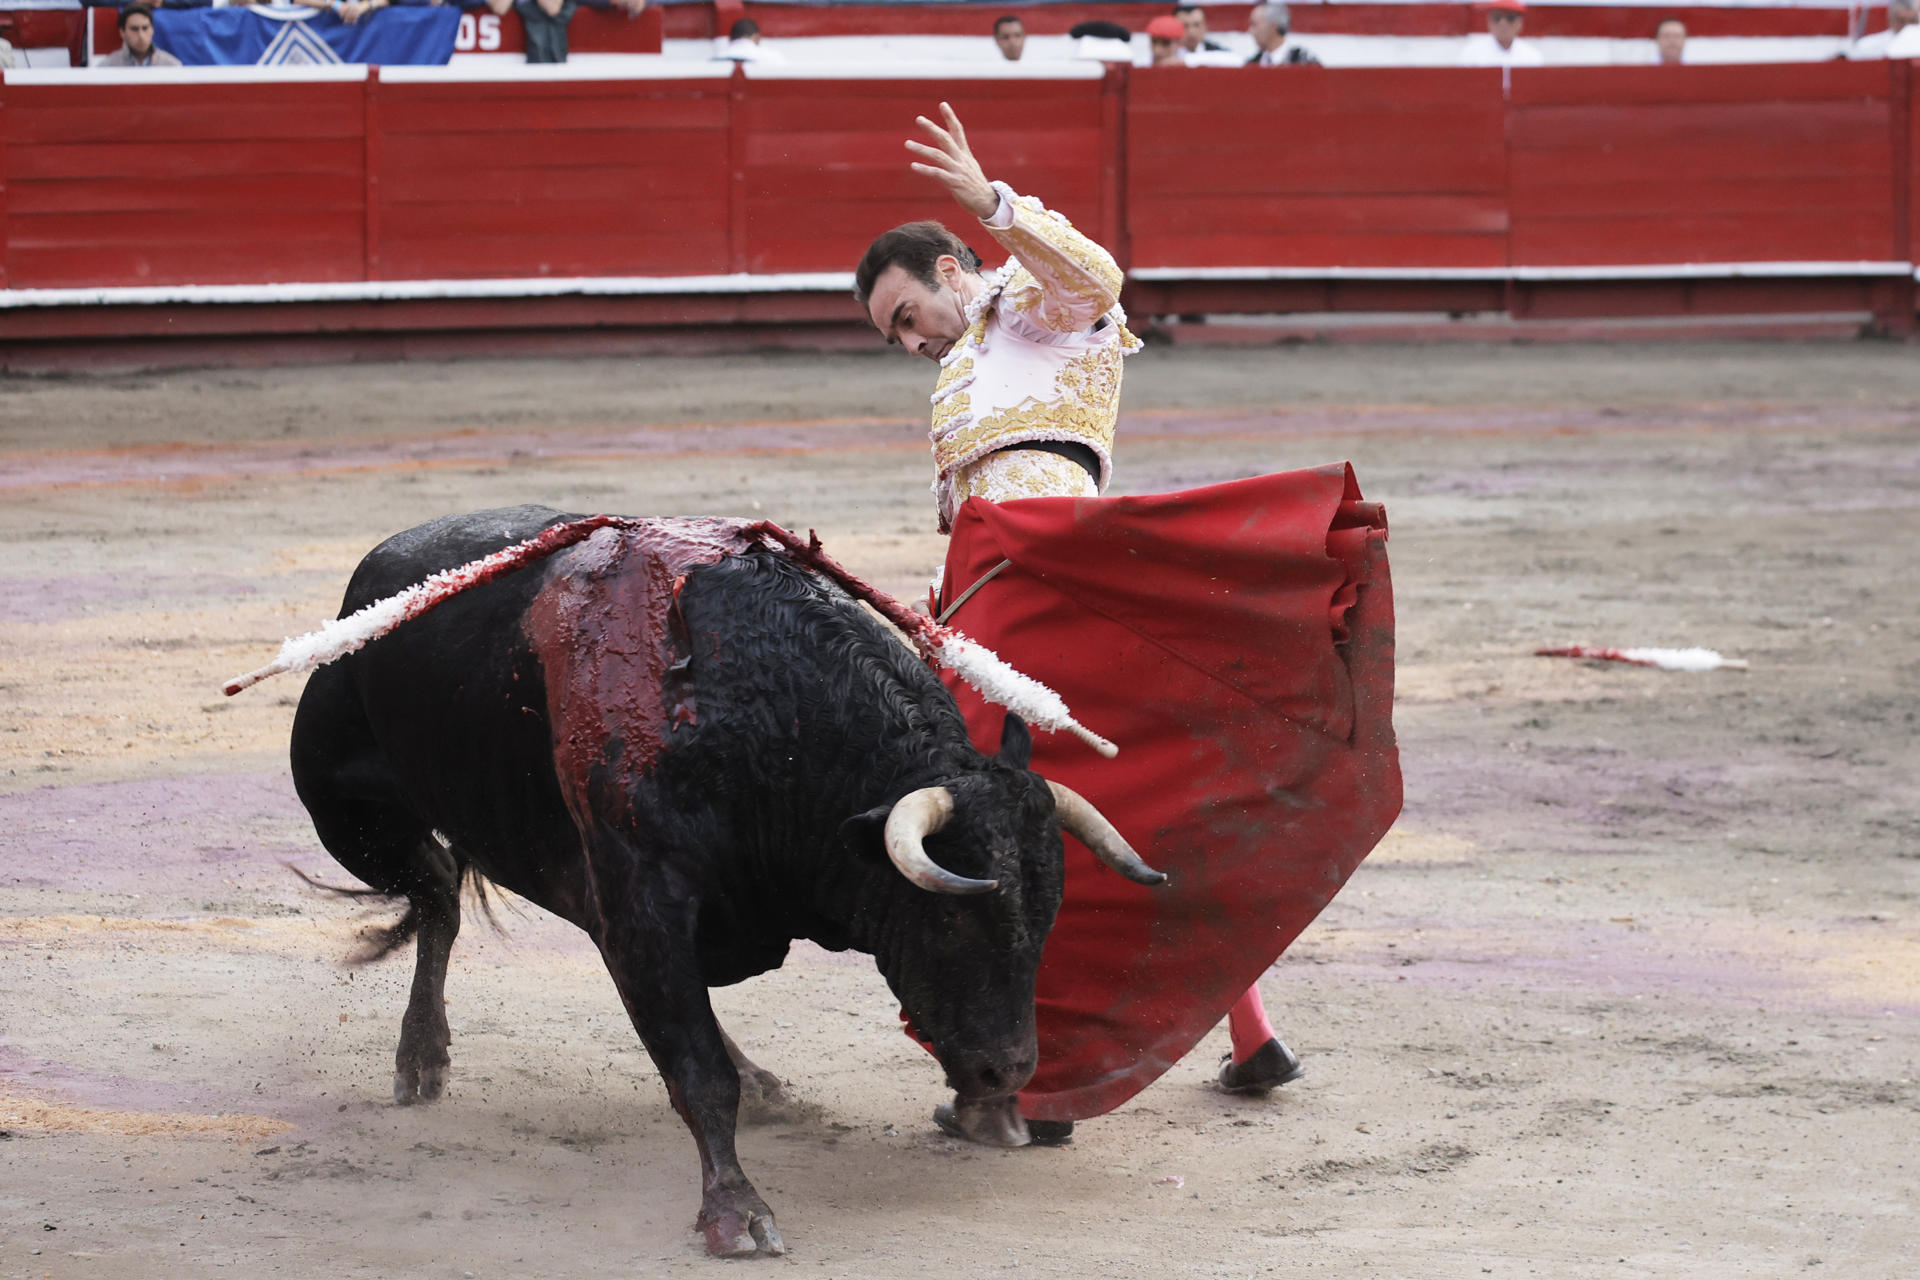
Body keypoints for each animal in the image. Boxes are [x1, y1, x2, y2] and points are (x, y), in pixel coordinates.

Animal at [282, 506, 1152, 1258]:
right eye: (950, 919)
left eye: (1047, 918)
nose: (1010, 1073)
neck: (763, 713)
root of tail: (383, 565)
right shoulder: (643, 900)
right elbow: (698, 1069)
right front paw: (737, 1213)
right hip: (348, 814)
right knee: (435, 894)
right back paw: (420, 1057)